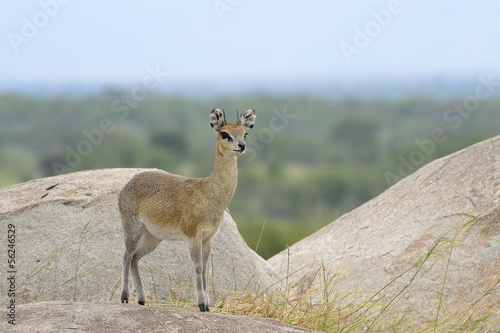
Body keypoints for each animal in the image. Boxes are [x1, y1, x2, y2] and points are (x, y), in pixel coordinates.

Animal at [119, 107, 256, 310]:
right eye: (225, 134)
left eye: (244, 133)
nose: (241, 145)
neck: (208, 192)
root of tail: (127, 185)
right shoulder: (193, 236)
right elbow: (198, 266)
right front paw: (202, 304)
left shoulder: (208, 238)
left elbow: (206, 268)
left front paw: (207, 304)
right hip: (132, 229)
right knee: (126, 256)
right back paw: (125, 297)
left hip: (153, 237)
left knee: (135, 258)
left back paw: (142, 299)